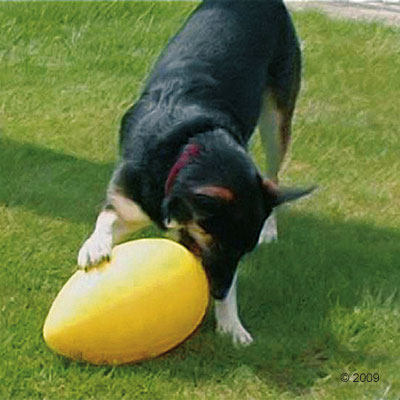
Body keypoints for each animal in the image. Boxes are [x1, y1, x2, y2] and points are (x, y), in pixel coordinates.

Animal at [77, 0, 312, 344]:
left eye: (243, 252)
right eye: (219, 245)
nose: (218, 291)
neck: (191, 145)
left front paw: (231, 324)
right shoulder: (129, 202)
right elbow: (106, 218)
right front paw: (95, 246)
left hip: (277, 118)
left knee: (274, 175)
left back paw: (271, 227)